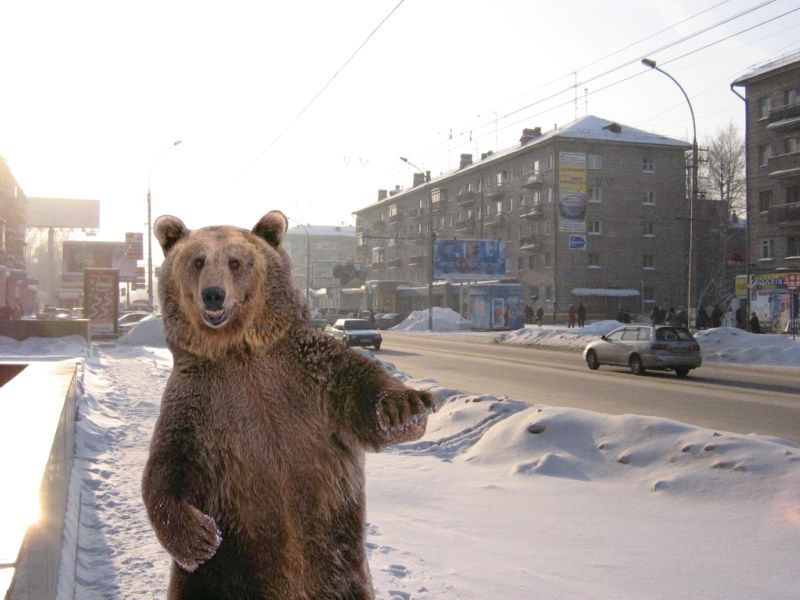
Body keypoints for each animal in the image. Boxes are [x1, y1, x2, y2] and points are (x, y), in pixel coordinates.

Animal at [142, 211, 433, 600]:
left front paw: (402, 409)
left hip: (337, 564)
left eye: (236, 262)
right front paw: (199, 537)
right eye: (198, 261)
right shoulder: (197, 403)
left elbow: (359, 388)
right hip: (223, 574)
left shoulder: (311, 373)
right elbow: (168, 465)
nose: (213, 295)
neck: (241, 352)